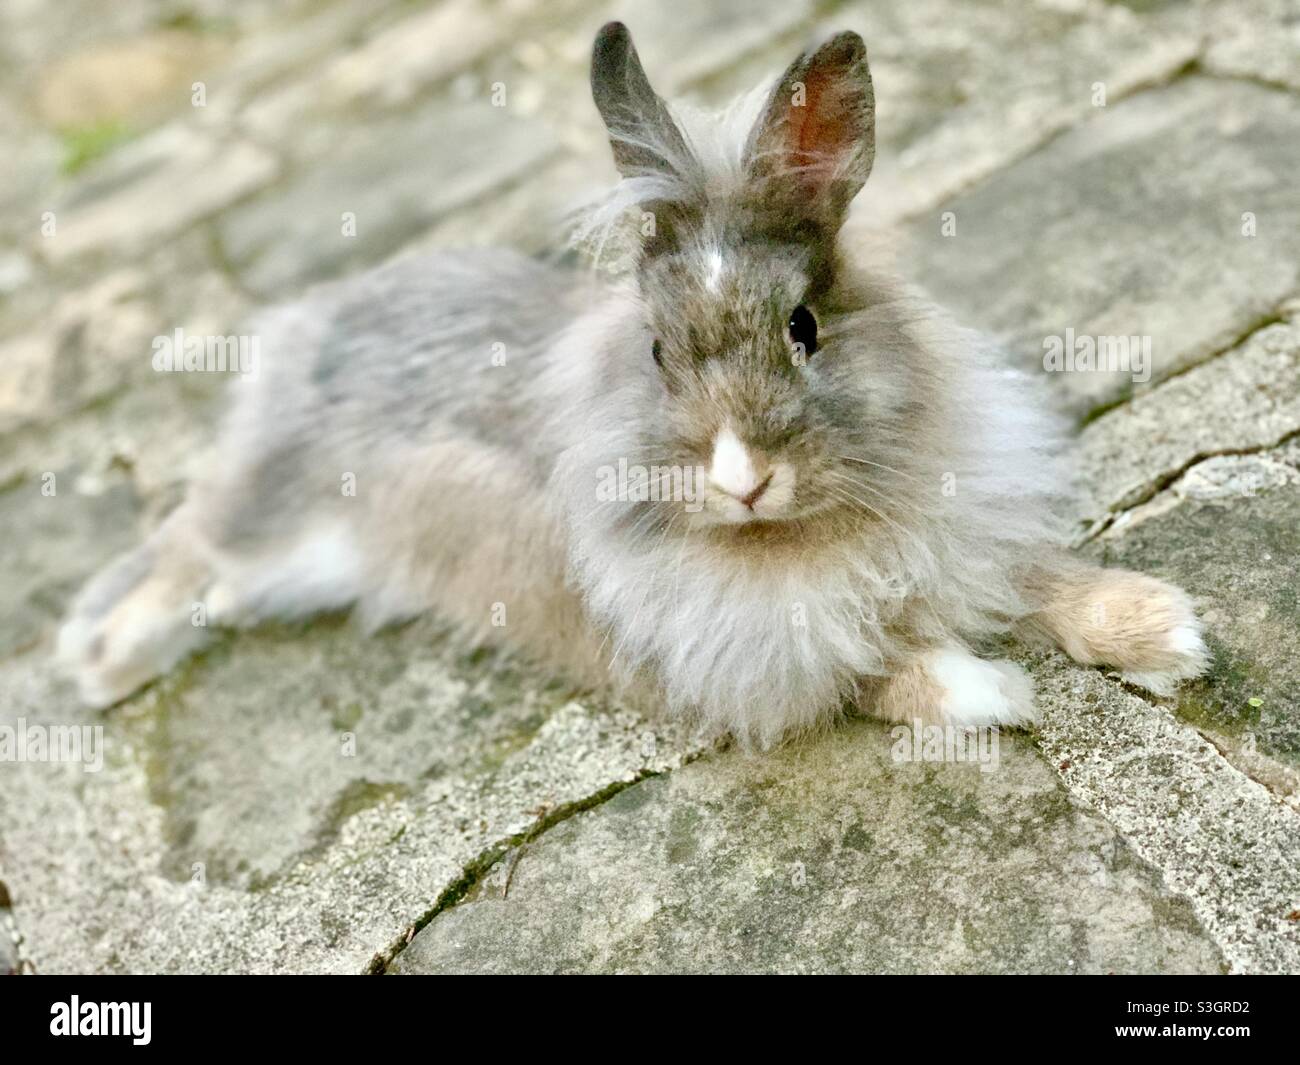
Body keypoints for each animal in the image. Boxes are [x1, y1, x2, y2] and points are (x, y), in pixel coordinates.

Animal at [53, 18, 1206, 749]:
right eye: (656, 353)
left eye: (804, 327)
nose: (742, 479)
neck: (797, 535)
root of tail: (314, 321)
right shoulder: (736, 657)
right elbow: (871, 672)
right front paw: (989, 691)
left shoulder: (968, 536)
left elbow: (1041, 577)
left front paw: (1166, 632)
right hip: (277, 508)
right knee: (190, 543)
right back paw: (103, 658)